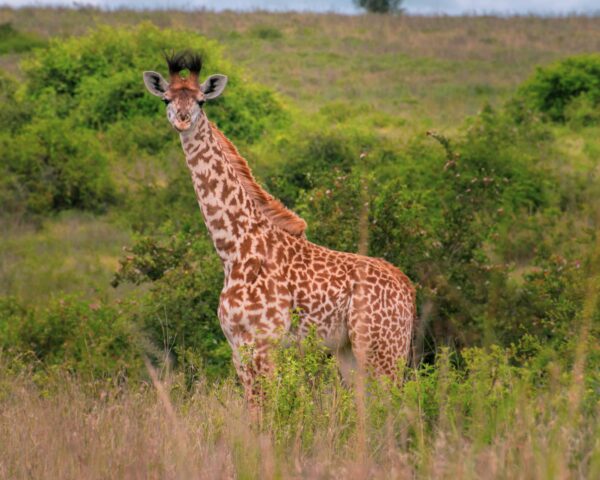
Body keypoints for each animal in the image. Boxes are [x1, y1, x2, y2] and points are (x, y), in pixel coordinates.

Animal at [144, 51, 418, 404]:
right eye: (166, 97)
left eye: (201, 101)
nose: (181, 118)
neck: (234, 247)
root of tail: (408, 289)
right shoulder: (238, 345)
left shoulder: (264, 342)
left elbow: (269, 407)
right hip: (350, 352)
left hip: (381, 348)